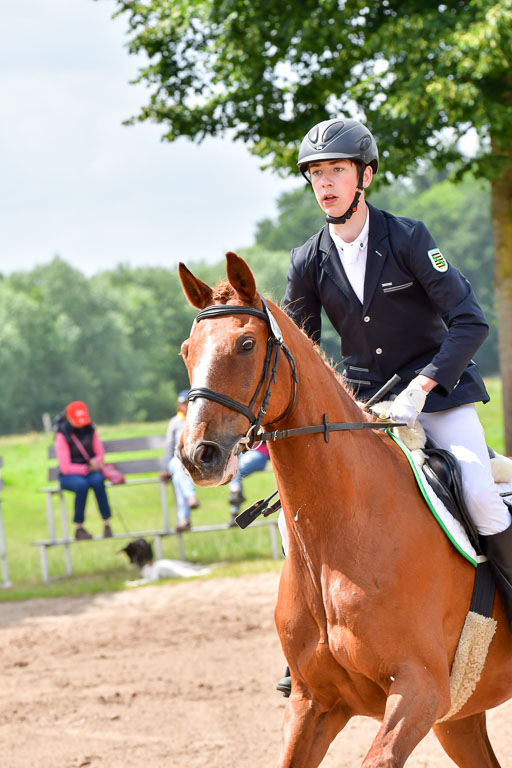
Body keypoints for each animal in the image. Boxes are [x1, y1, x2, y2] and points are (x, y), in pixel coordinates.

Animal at [177, 251, 512, 768]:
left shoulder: (419, 690)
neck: (338, 536)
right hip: (459, 719)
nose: (199, 456)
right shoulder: (313, 704)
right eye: (186, 351)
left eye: (246, 344)